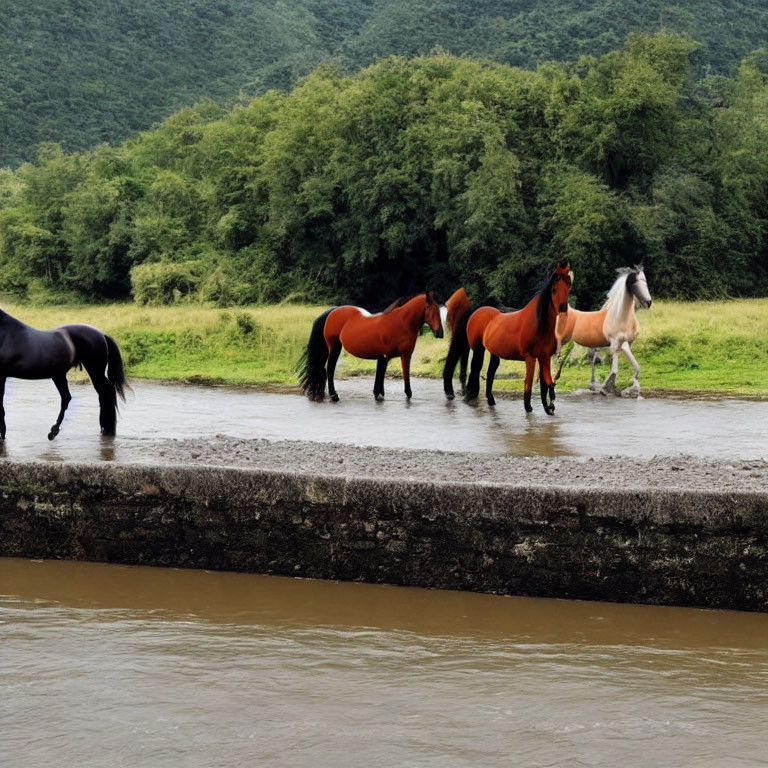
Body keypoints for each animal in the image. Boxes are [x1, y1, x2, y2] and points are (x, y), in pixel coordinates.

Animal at [0, 306, 126, 438]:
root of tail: (102, 335)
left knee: (105, 391)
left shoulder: (1, 376)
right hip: (60, 376)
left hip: (94, 371)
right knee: (70, 397)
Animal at [298, 292, 444, 402]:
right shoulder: (386, 356)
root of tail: (332, 311)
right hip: (334, 347)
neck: (399, 323)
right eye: (431, 309)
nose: (440, 333)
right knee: (330, 369)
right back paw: (334, 395)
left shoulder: (402, 356)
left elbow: (399, 380)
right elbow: (382, 379)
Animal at [444, 260, 568, 414]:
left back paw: (489, 400)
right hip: (478, 348)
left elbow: (545, 382)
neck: (538, 324)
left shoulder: (544, 357)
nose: (563, 309)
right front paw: (529, 408)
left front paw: (549, 407)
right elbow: (528, 382)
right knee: (476, 369)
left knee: (490, 372)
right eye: (554, 290)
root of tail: (477, 310)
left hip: (493, 352)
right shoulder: (530, 357)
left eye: (568, 286)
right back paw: (469, 396)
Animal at [556, 266, 652, 396]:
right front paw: (605, 388)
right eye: (635, 283)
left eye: (645, 281)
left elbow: (634, 367)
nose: (649, 302)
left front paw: (630, 389)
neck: (620, 317)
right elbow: (614, 370)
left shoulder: (625, 344)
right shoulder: (616, 344)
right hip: (564, 342)